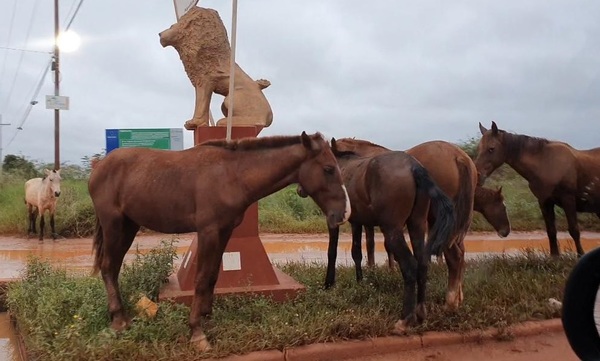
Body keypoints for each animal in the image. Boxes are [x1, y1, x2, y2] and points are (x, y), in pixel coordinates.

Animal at [89, 131, 352, 348]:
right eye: (329, 168)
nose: (343, 214)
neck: (231, 174)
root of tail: (99, 166)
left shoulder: (224, 231)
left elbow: (213, 275)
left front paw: (207, 319)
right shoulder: (208, 232)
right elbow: (201, 278)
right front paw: (197, 332)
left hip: (128, 226)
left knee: (113, 267)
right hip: (113, 225)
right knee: (108, 267)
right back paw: (119, 321)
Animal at [300, 139, 454, 332]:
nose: (299, 189)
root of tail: (414, 167)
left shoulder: (334, 220)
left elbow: (332, 252)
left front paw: (329, 283)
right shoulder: (357, 222)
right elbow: (357, 252)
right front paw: (360, 281)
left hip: (392, 230)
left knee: (410, 265)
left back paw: (405, 318)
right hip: (417, 225)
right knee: (423, 263)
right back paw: (420, 313)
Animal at [478, 121, 600, 256]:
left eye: (491, 149)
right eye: (479, 148)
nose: (477, 175)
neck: (546, 163)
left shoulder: (568, 199)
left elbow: (574, 230)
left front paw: (580, 255)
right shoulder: (544, 201)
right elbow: (551, 231)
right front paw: (555, 256)